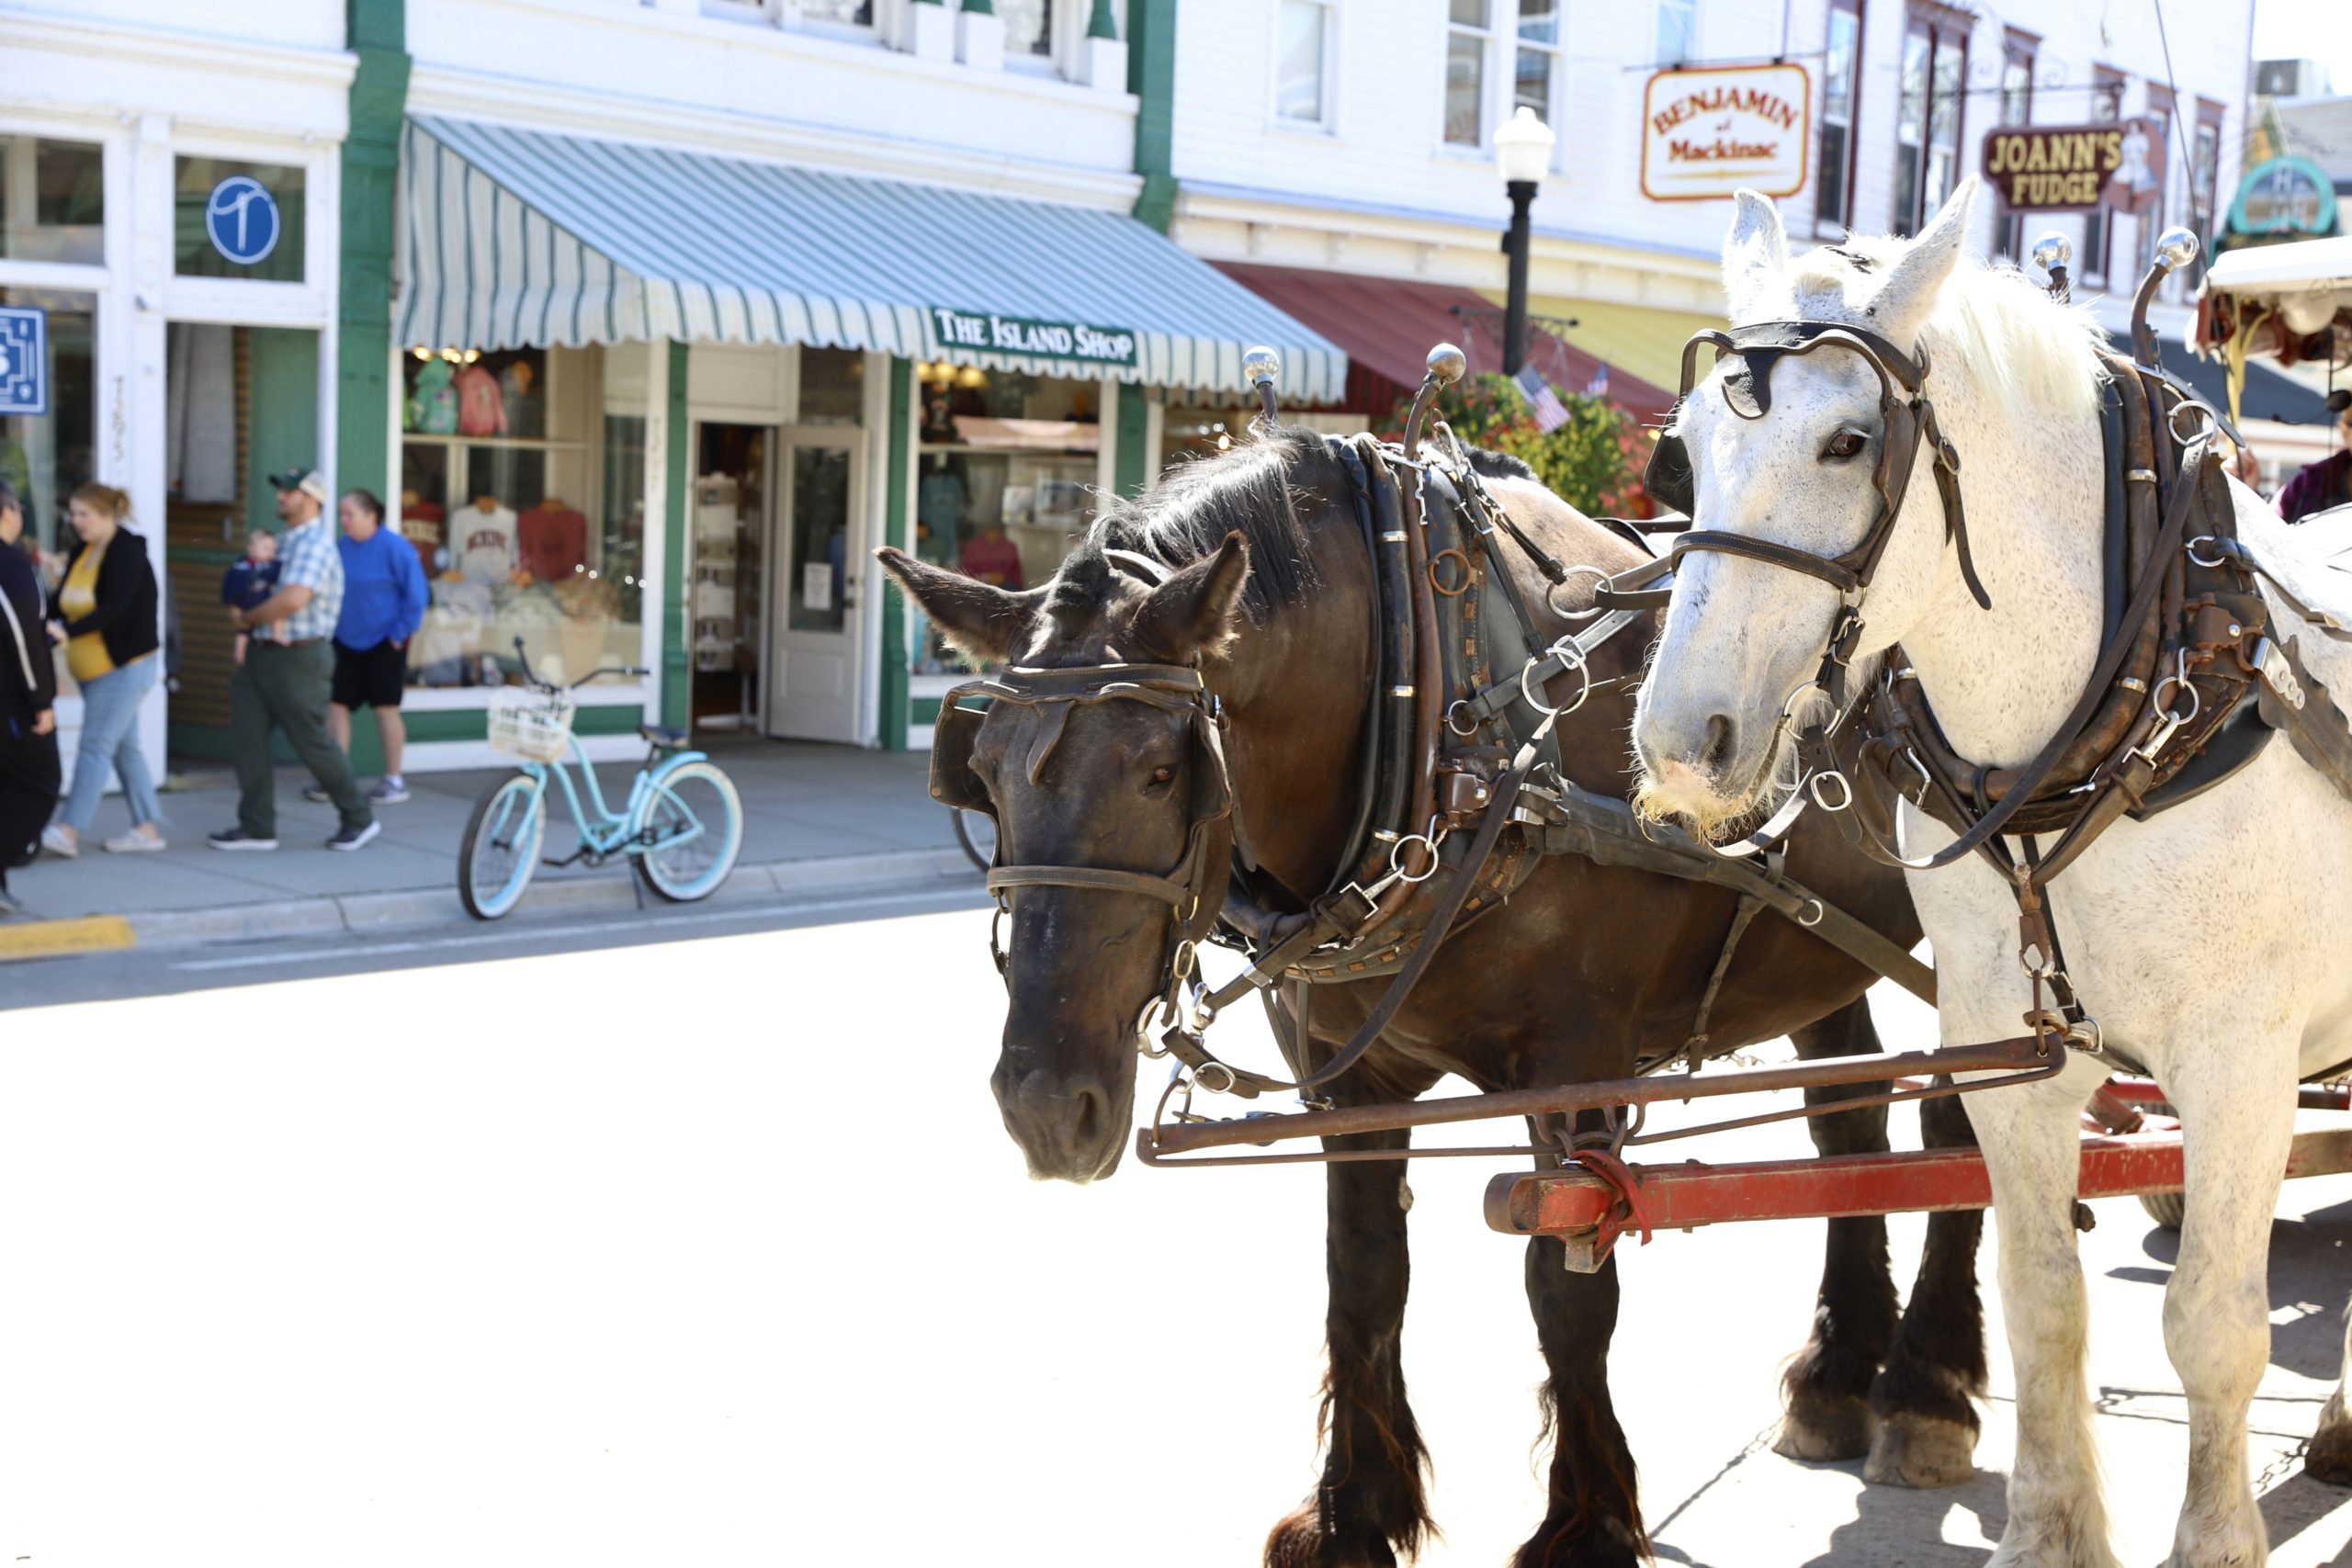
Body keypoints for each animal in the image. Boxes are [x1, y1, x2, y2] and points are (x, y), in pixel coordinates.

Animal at [884, 432, 1984, 1568]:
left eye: (1158, 771)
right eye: (979, 776)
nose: (1047, 1107)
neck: (1446, 714)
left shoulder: (1576, 1063)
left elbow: (1566, 1290)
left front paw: (1587, 1526)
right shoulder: (1353, 1085)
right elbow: (1364, 1276)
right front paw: (1355, 1513)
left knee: (1962, 1124)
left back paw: (1926, 1387)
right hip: (1818, 948)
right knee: (1851, 1129)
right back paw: (1839, 1375)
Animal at [1627, 177, 2352, 1561]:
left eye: (1849, 442)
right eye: (1683, 449)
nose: (1684, 741)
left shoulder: (2241, 1062)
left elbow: (2209, 1326)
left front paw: (2214, 1534)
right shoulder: (2008, 1044)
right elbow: (2042, 1298)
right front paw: (2052, 1528)